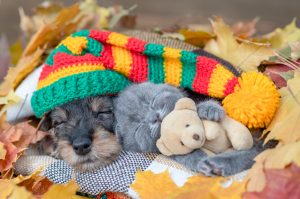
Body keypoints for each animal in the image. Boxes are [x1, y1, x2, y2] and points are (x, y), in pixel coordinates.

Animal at [113, 82, 264, 176]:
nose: (155, 117)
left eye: (152, 101)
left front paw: (209, 109)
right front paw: (201, 163)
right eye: (139, 126)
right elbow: (186, 156)